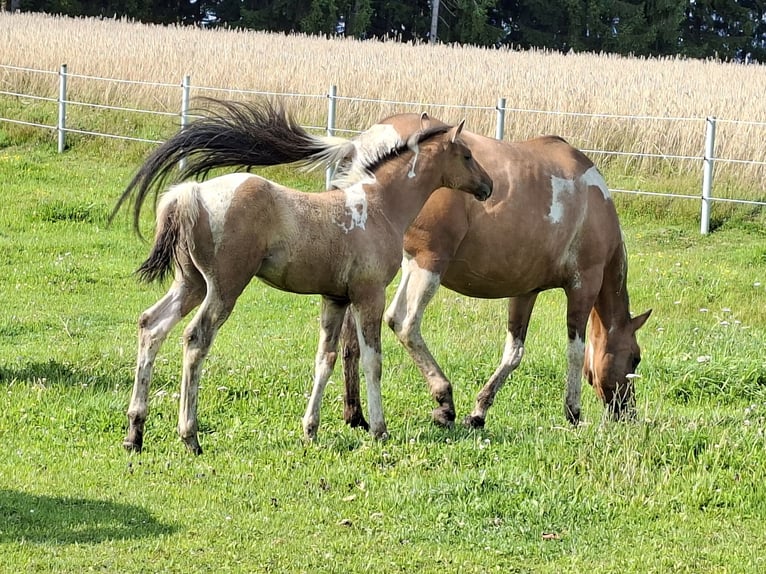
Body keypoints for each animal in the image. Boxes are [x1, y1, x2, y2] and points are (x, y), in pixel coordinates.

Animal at [112, 100, 492, 454]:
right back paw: (190, 436)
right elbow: (373, 360)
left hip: (191, 283)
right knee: (195, 338)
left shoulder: (334, 298)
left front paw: (310, 430)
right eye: (467, 155)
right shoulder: (368, 294)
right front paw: (379, 429)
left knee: (152, 325)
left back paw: (135, 433)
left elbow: (325, 359)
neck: (379, 206)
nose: (488, 186)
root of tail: (189, 193)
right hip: (224, 288)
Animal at [340, 113, 651, 431]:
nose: (628, 414)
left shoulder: (526, 291)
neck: (594, 203)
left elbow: (513, 353)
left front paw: (479, 412)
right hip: (427, 264)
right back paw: (444, 401)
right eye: (635, 359)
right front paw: (573, 411)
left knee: (353, 341)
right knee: (403, 322)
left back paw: (357, 415)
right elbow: (575, 351)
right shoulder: (582, 286)